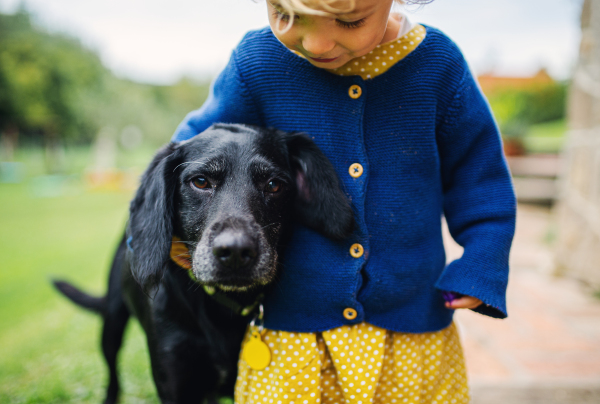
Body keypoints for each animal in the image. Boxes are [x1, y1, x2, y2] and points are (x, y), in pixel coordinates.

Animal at [54, 124, 354, 404]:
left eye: (273, 185)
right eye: (200, 181)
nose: (235, 251)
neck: (221, 309)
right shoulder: (175, 379)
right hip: (112, 322)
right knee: (113, 376)